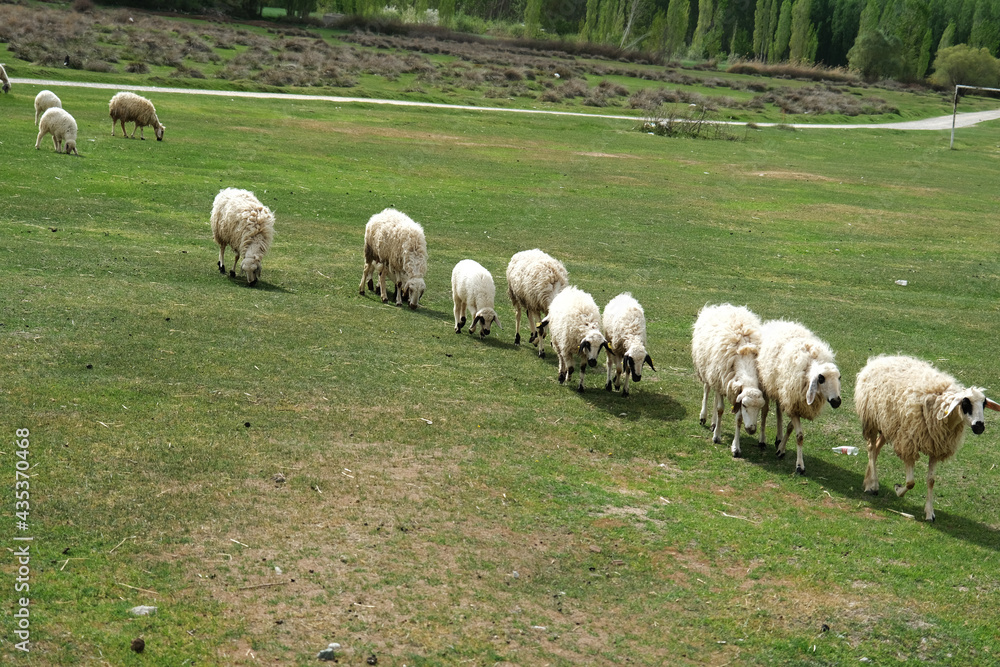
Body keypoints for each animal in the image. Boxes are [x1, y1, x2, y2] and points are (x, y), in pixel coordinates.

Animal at [691, 304, 766, 458]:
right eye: (745, 405)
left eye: (760, 407)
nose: (751, 430)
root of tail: (723, 306)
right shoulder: (722, 382)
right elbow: (720, 409)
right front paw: (716, 437)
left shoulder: (731, 388)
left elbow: (738, 419)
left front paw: (735, 447)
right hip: (707, 369)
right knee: (707, 390)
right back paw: (704, 417)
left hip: (717, 377)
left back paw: (713, 423)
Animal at [756, 319, 842, 475]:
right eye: (821, 379)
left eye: (839, 378)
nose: (836, 401)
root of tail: (778, 322)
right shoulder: (793, 403)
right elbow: (800, 436)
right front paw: (799, 466)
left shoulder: (797, 405)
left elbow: (790, 428)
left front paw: (781, 449)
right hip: (765, 382)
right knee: (764, 412)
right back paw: (762, 440)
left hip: (781, 389)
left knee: (778, 409)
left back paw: (778, 437)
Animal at [855, 355, 1000, 522]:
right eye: (965, 402)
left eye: (984, 404)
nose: (979, 426)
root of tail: (880, 359)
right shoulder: (908, 443)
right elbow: (911, 482)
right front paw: (898, 490)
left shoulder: (936, 447)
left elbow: (931, 481)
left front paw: (929, 512)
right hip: (871, 419)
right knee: (871, 449)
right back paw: (873, 485)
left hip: (889, 424)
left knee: (876, 448)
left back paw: (867, 481)